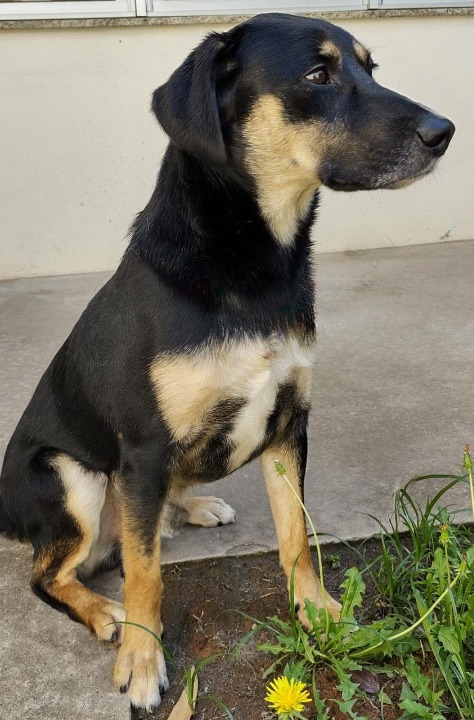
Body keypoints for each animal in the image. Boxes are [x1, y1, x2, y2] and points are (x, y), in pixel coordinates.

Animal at [0, 12, 456, 716]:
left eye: (369, 67)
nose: (445, 132)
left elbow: (296, 538)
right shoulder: (143, 449)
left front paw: (317, 613)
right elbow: (145, 577)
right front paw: (142, 660)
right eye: (317, 74)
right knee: (50, 573)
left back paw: (191, 508)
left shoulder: (288, 424)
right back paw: (104, 612)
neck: (252, 265)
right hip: (72, 476)